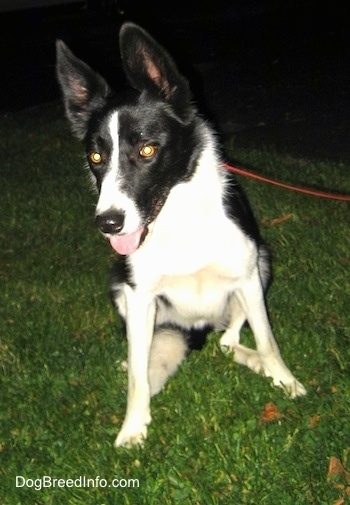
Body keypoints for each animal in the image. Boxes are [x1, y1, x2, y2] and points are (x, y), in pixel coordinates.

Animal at [55, 21, 306, 446]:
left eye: (147, 150)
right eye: (95, 157)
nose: (108, 223)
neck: (179, 221)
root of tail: (197, 328)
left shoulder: (247, 278)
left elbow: (268, 340)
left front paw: (283, 378)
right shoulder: (139, 297)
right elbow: (139, 379)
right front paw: (133, 426)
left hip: (262, 262)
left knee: (229, 341)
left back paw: (254, 362)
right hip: (119, 285)